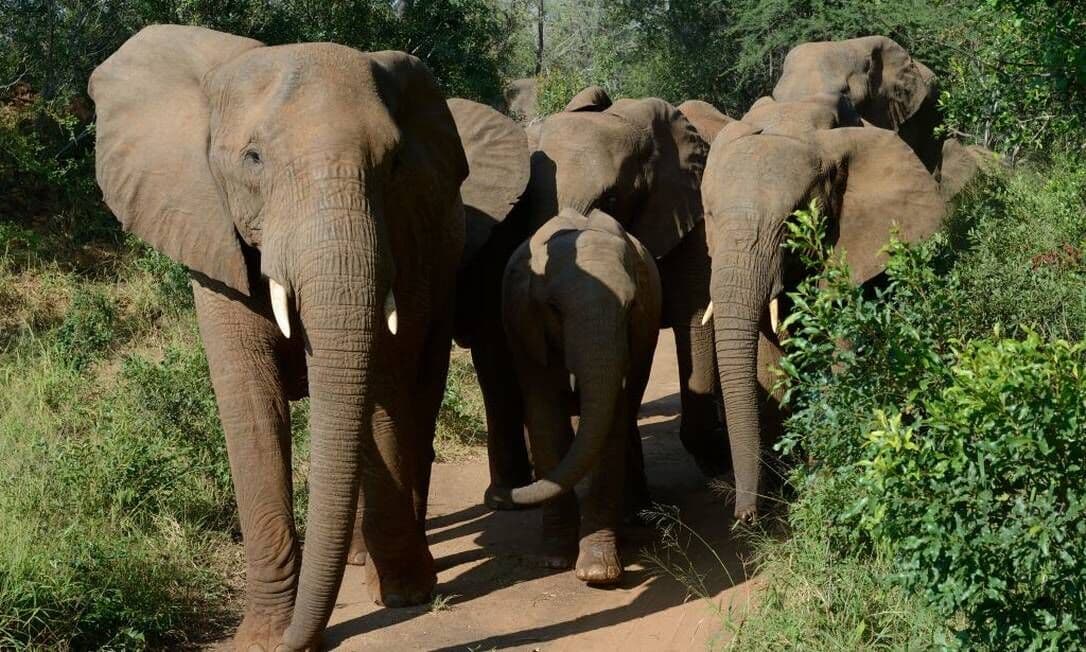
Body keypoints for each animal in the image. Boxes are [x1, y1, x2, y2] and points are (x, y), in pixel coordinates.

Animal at [89, 25, 523, 650]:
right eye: (253, 159)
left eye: (394, 164)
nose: (305, 638)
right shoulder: (211, 235)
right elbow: (252, 407)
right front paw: (264, 638)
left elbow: (382, 385)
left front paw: (404, 597)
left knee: (418, 395)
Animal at [501, 208, 661, 584]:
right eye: (555, 309)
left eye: (631, 306)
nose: (502, 496)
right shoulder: (526, 335)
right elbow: (546, 422)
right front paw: (553, 560)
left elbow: (611, 423)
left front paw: (598, 573)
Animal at [700, 94, 947, 522]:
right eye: (710, 216)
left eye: (790, 223)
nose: (745, 516)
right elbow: (767, 360)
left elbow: (840, 354)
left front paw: (817, 485)